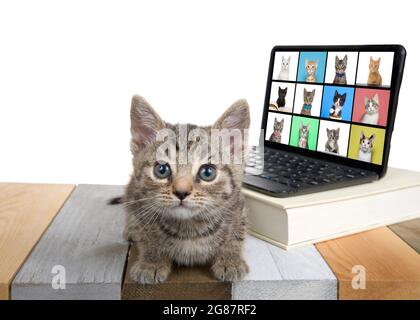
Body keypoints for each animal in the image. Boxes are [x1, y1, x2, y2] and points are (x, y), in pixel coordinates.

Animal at [124, 96, 249, 284]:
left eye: (207, 172)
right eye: (161, 169)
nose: (181, 192)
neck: (190, 229)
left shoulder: (238, 206)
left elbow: (236, 234)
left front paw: (230, 260)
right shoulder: (142, 204)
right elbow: (147, 235)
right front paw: (152, 262)